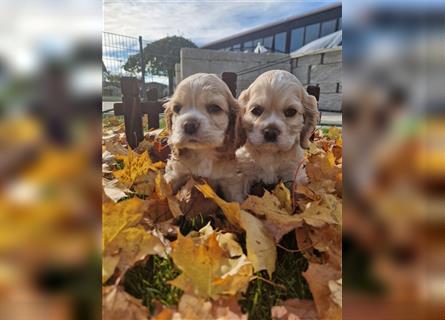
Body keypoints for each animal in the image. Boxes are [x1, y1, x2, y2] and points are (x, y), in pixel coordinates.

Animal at [236, 70, 320, 198]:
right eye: (256, 110)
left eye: (291, 111)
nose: (270, 132)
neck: (270, 154)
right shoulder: (244, 172)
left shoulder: (293, 173)